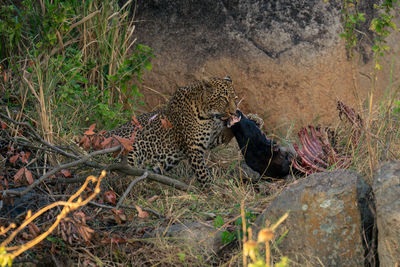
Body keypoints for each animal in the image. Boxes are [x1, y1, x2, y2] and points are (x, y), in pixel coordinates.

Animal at [104, 77, 239, 186]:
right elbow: (203, 174)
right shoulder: (194, 148)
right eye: (223, 98)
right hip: (129, 148)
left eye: (235, 99)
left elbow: (220, 137)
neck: (207, 116)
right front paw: (213, 190)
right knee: (125, 175)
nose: (234, 112)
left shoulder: (208, 140)